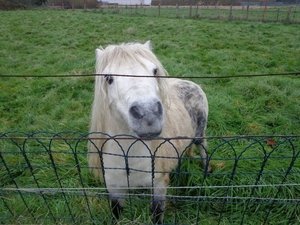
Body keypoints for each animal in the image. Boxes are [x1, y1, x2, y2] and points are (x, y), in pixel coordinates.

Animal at [88, 40, 212, 223]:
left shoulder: (159, 184)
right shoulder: (114, 187)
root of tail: (191, 83)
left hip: (200, 134)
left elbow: (157, 214)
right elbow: (116, 214)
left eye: (154, 71)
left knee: (202, 148)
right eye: (108, 78)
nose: (148, 115)